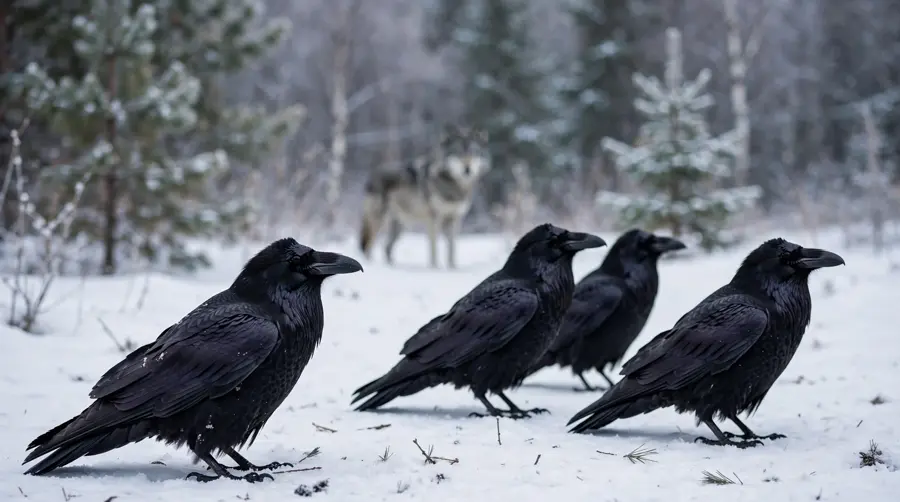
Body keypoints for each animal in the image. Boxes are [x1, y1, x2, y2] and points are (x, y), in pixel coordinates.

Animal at [359, 125, 490, 269]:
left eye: (473, 152)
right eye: (458, 153)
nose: (467, 169)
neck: (453, 185)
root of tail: (371, 175)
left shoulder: (455, 219)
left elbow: (452, 249)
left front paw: (452, 268)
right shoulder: (434, 219)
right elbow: (434, 248)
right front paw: (435, 269)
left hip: (399, 227)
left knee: (386, 248)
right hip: (379, 222)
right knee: (368, 248)